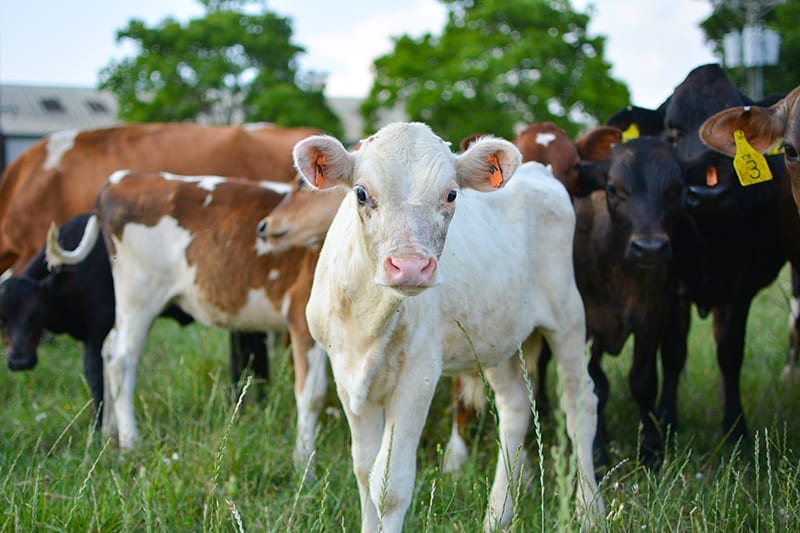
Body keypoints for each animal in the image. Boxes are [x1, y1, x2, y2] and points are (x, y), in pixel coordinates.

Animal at [0, 212, 268, 424]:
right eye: (2, 320)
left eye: (37, 313)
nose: (20, 361)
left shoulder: (98, 328)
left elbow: (95, 376)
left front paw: (98, 430)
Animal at [300, 121, 600, 532]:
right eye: (361, 193)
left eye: (451, 194)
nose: (410, 266)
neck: (370, 318)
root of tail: (539, 171)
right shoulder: (346, 373)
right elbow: (364, 470)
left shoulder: (420, 373)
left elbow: (390, 485)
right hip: (495, 335)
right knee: (515, 407)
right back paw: (497, 515)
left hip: (567, 314)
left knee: (579, 403)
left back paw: (588, 509)